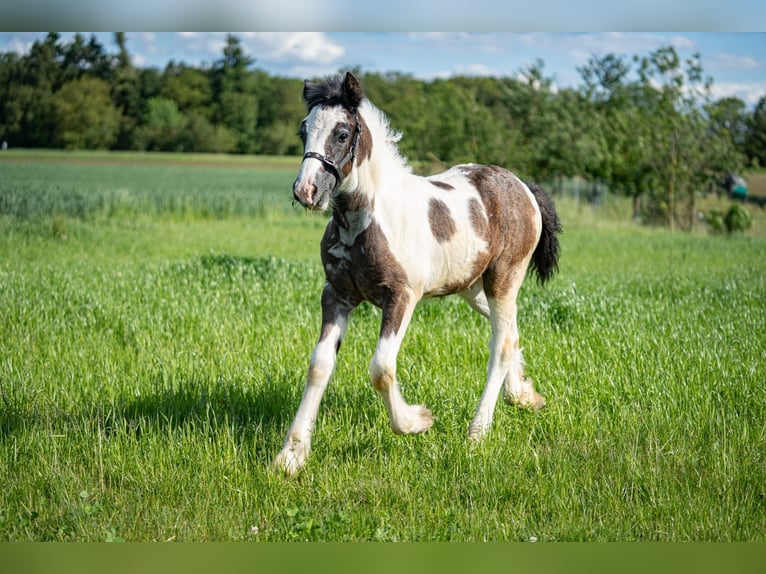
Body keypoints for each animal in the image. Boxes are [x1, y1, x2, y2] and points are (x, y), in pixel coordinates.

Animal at [272, 72, 560, 476]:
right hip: (474, 288)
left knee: (501, 342)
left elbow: (381, 367)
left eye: (342, 133)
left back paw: (477, 432)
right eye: (303, 130)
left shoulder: (401, 297)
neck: (366, 220)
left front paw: (417, 421)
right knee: (510, 330)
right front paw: (292, 455)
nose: (306, 190)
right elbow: (319, 365)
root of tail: (522, 187)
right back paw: (523, 396)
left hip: (504, 278)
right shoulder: (336, 295)